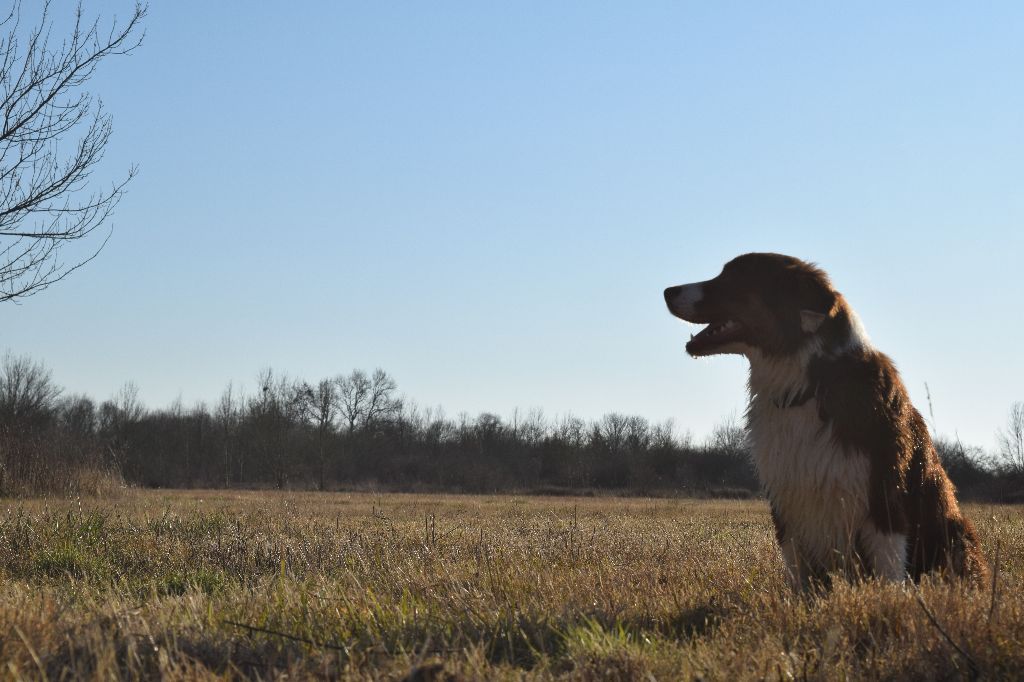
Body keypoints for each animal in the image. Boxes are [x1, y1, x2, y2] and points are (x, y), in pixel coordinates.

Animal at [659, 251, 987, 585]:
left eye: (734, 277)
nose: (668, 291)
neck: (808, 383)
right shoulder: (788, 505)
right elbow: (800, 579)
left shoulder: (884, 498)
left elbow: (889, 574)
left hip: (956, 535)